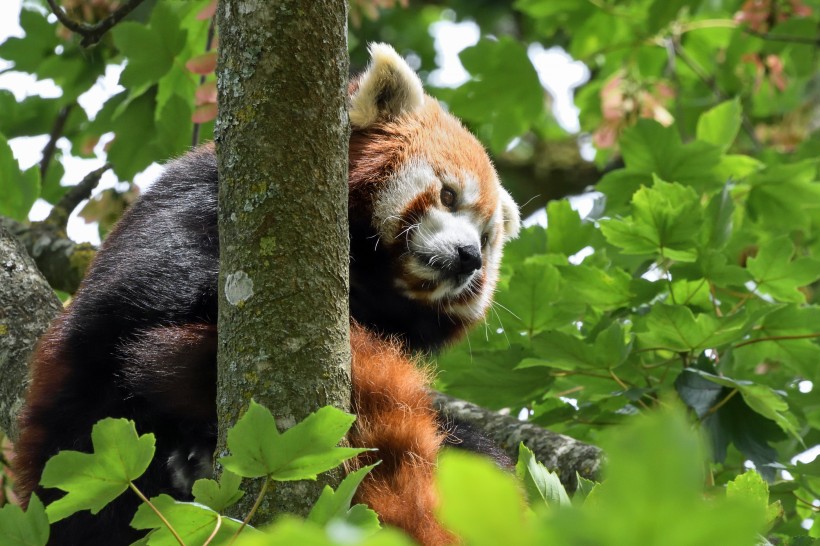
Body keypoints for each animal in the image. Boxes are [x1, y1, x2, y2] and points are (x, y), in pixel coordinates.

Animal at [14, 43, 520, 544]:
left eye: (487, 239)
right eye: (449, 195)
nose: (469, 257)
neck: (367, 271)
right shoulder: (195, 197)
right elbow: (148, 287)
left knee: (467, 443)